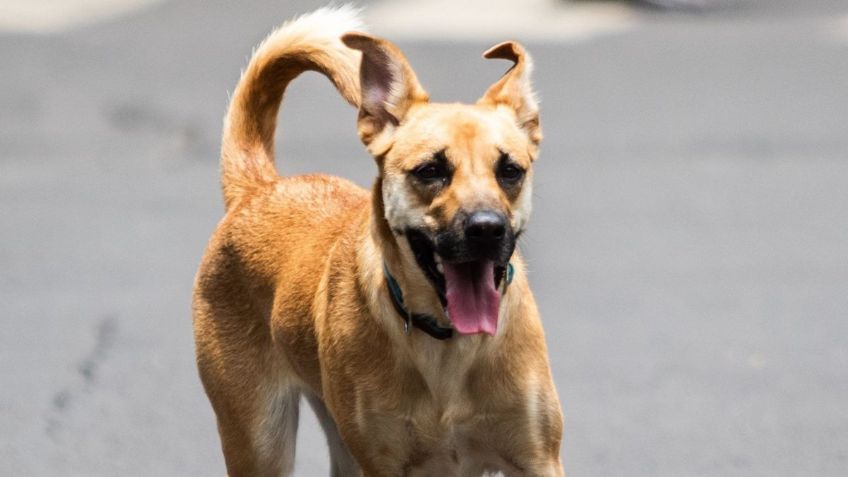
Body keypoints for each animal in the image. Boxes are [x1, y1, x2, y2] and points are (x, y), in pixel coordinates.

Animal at [192, 5, 564, 474]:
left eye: (510, 170)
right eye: (430, 170)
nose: (486, 229)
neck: (448, 345)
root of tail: (259, 188)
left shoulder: (538, 459)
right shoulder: (381, 463)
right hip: (262, 441)